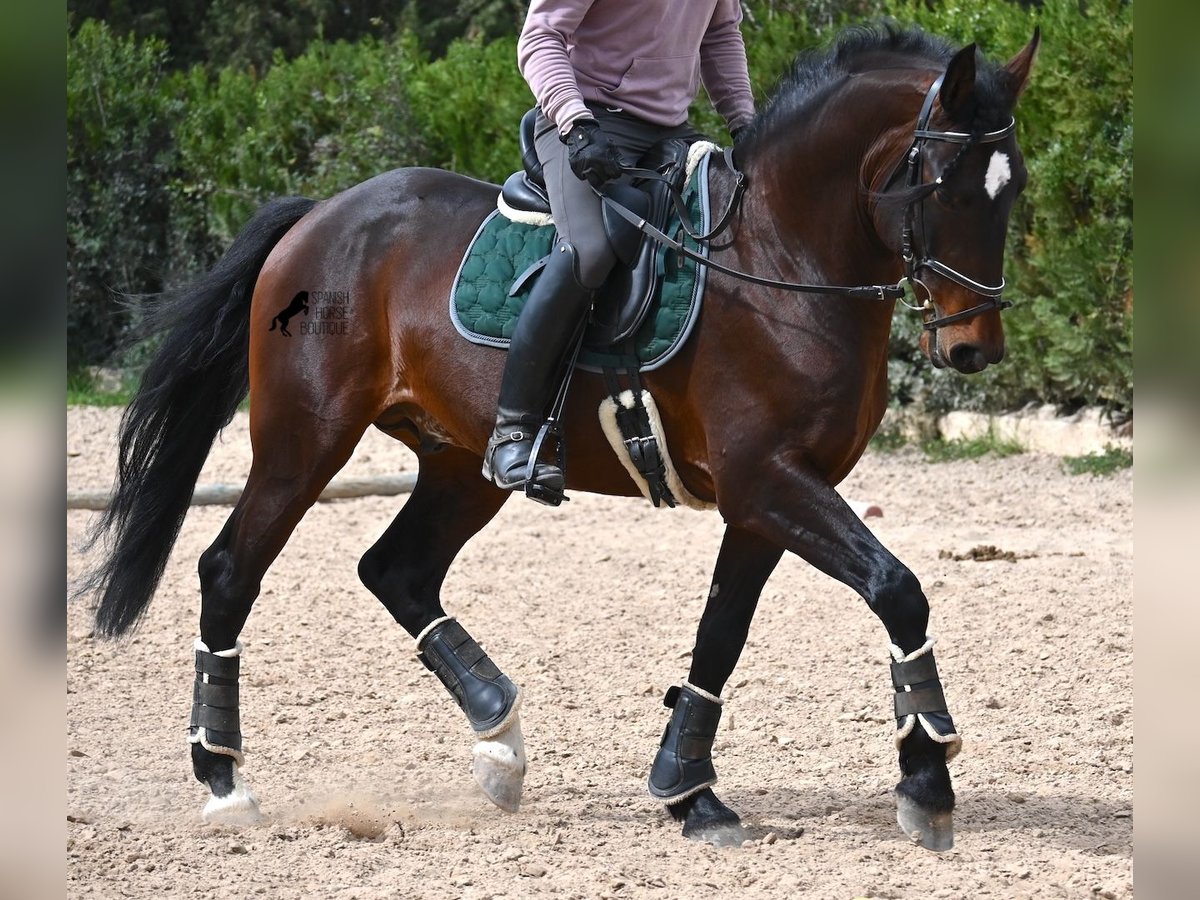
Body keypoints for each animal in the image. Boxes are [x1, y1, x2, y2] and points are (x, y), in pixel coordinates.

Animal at [82, 24, 1041, 849]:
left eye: (1017, 187)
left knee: (396, 570)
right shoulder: (768, 479)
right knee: (230, 570)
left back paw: (500, 740)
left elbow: (721, 634)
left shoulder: (765, 496)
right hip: (304, 441)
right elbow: (897, 588)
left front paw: (688, 791)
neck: (782, 258)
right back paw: (224, 781)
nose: (973, 349)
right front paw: (927, 779)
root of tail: (324, 215)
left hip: (460, 465)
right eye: (944, 187)